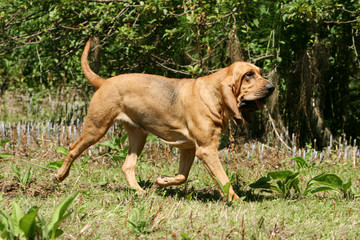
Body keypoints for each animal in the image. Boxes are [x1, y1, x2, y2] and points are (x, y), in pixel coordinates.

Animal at [54, 39, 274, 201]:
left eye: (260, 73)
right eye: (248, 75)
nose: (272, 88)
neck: (214, 95)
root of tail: (104, 81)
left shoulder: (189, 148)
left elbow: (182, 176)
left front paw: (162, 181)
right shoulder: (206, 150)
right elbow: (223, 178)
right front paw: (236, 200)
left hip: (138, 136)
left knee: (127, 166)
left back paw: (138, 191)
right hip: (96, 128)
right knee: (72, 149)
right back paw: (60, 175)